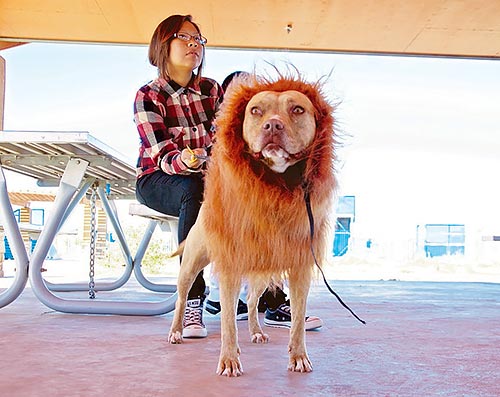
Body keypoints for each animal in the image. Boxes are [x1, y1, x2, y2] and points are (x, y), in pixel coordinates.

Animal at [168, 70, 336, 374]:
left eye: (297, 109)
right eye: (256, 110)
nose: (272, 125)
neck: (273, 189)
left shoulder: (300, 267)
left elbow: (297, 320)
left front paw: (298, 355)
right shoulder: (229, 267)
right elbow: (227, 321)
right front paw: (229, 360)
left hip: (261, 269)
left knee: (253, 299)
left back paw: (257, 330)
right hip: (191, 266)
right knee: (182, 296)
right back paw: (177, 330)